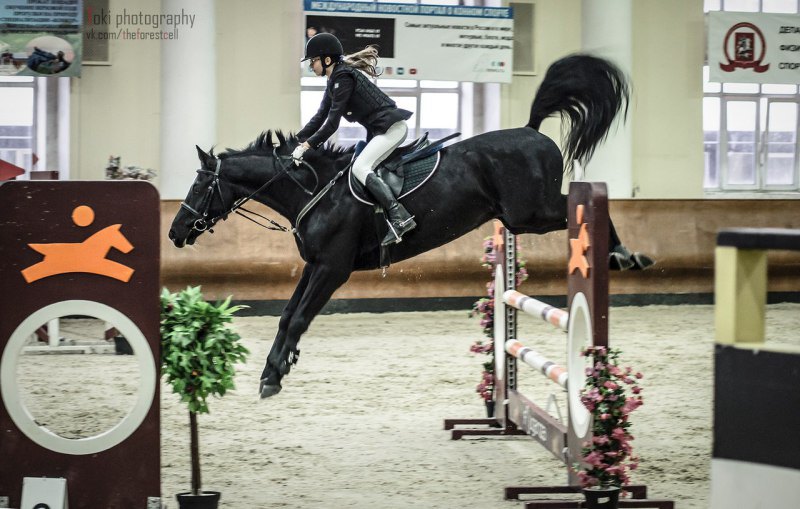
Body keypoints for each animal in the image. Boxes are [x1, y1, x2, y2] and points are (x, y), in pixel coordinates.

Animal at [167, 53, 648, 398]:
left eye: (200, 185)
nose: (175, 233)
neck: (313, 190)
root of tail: (531, 131)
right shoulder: (316, 264)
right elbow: (287, 315)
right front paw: (275, 369)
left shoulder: (333, 268)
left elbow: (301, 316)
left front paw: (273, 376)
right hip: (523, 217)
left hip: (532, 214)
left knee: (581, 207)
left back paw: (626, 254)